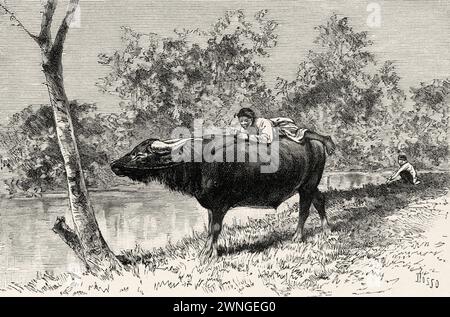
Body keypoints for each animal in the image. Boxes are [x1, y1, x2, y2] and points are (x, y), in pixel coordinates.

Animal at [110, 136, 330, 260]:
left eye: (140, 154)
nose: (114, 164)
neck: (199, 163)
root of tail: (317, 143)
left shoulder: (219, 205)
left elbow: (215, 229)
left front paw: (210, 255)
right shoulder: (210, 206)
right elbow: (209, 229)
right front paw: (205, 251)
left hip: (307, 186)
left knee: (304, 210)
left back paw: (297, 236)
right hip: (309, 186)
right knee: (320, 200)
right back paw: (325, 228)